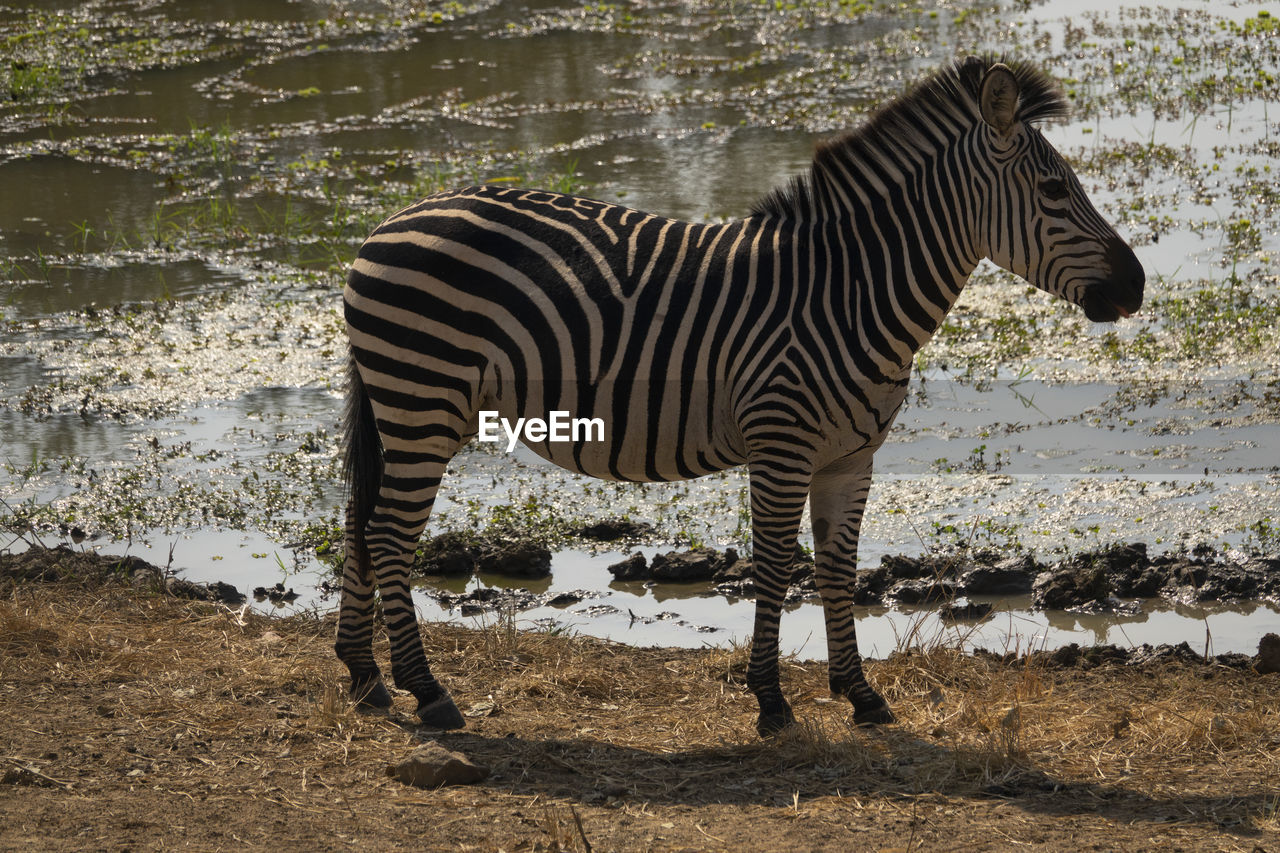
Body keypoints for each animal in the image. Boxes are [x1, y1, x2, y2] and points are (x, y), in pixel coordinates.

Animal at [330, 56, 1141, 732]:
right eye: (1054, 189)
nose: (1136, 286)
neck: (849, 293)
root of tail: (387, 222)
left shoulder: (851, 457)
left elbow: (838, 570)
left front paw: (862, 696)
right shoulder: (781, 445)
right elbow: (777, 567)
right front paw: (772, 701)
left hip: (401, 403)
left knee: (360, 524)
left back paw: (365, 678)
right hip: (424, 402)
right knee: (389, 535)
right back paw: (427, 691)